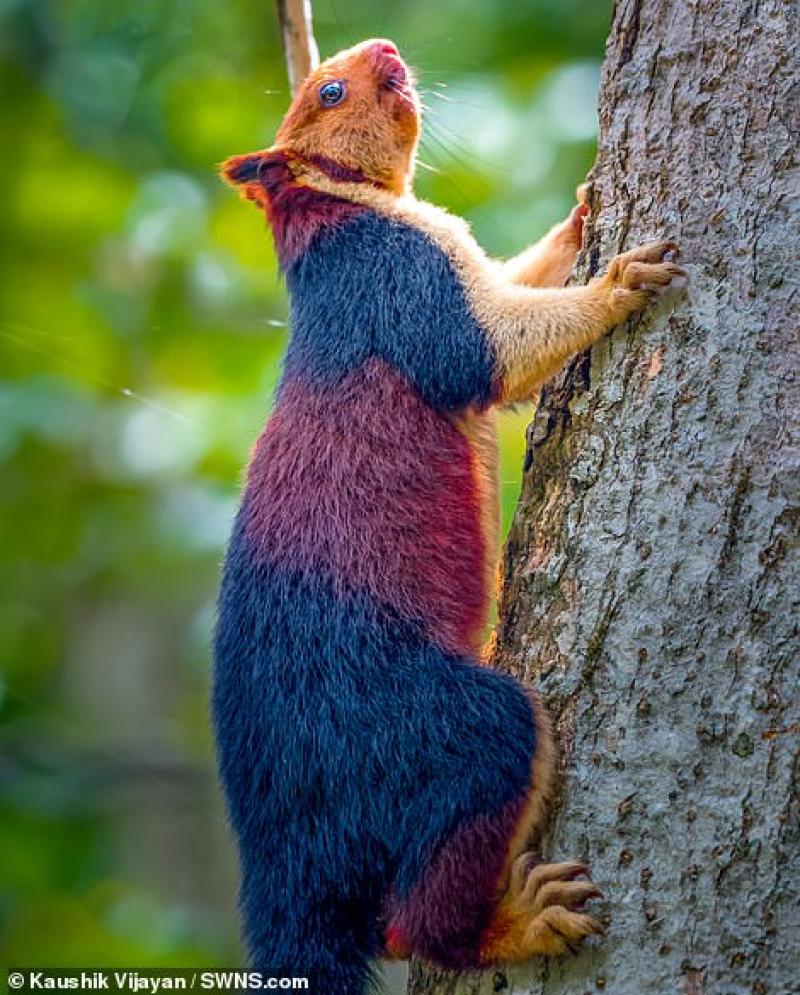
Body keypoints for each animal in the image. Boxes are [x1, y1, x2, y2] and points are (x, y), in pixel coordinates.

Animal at [213, 38, 685, 993]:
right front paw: (619, 280)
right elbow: (493, 348)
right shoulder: (397, 285)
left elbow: (512, 277)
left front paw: (584, 213)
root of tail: (292, 851)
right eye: (328, 90)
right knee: (419, 922)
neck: (341, 209)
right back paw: (522, 923)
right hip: (440, 730)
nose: (388, 49)